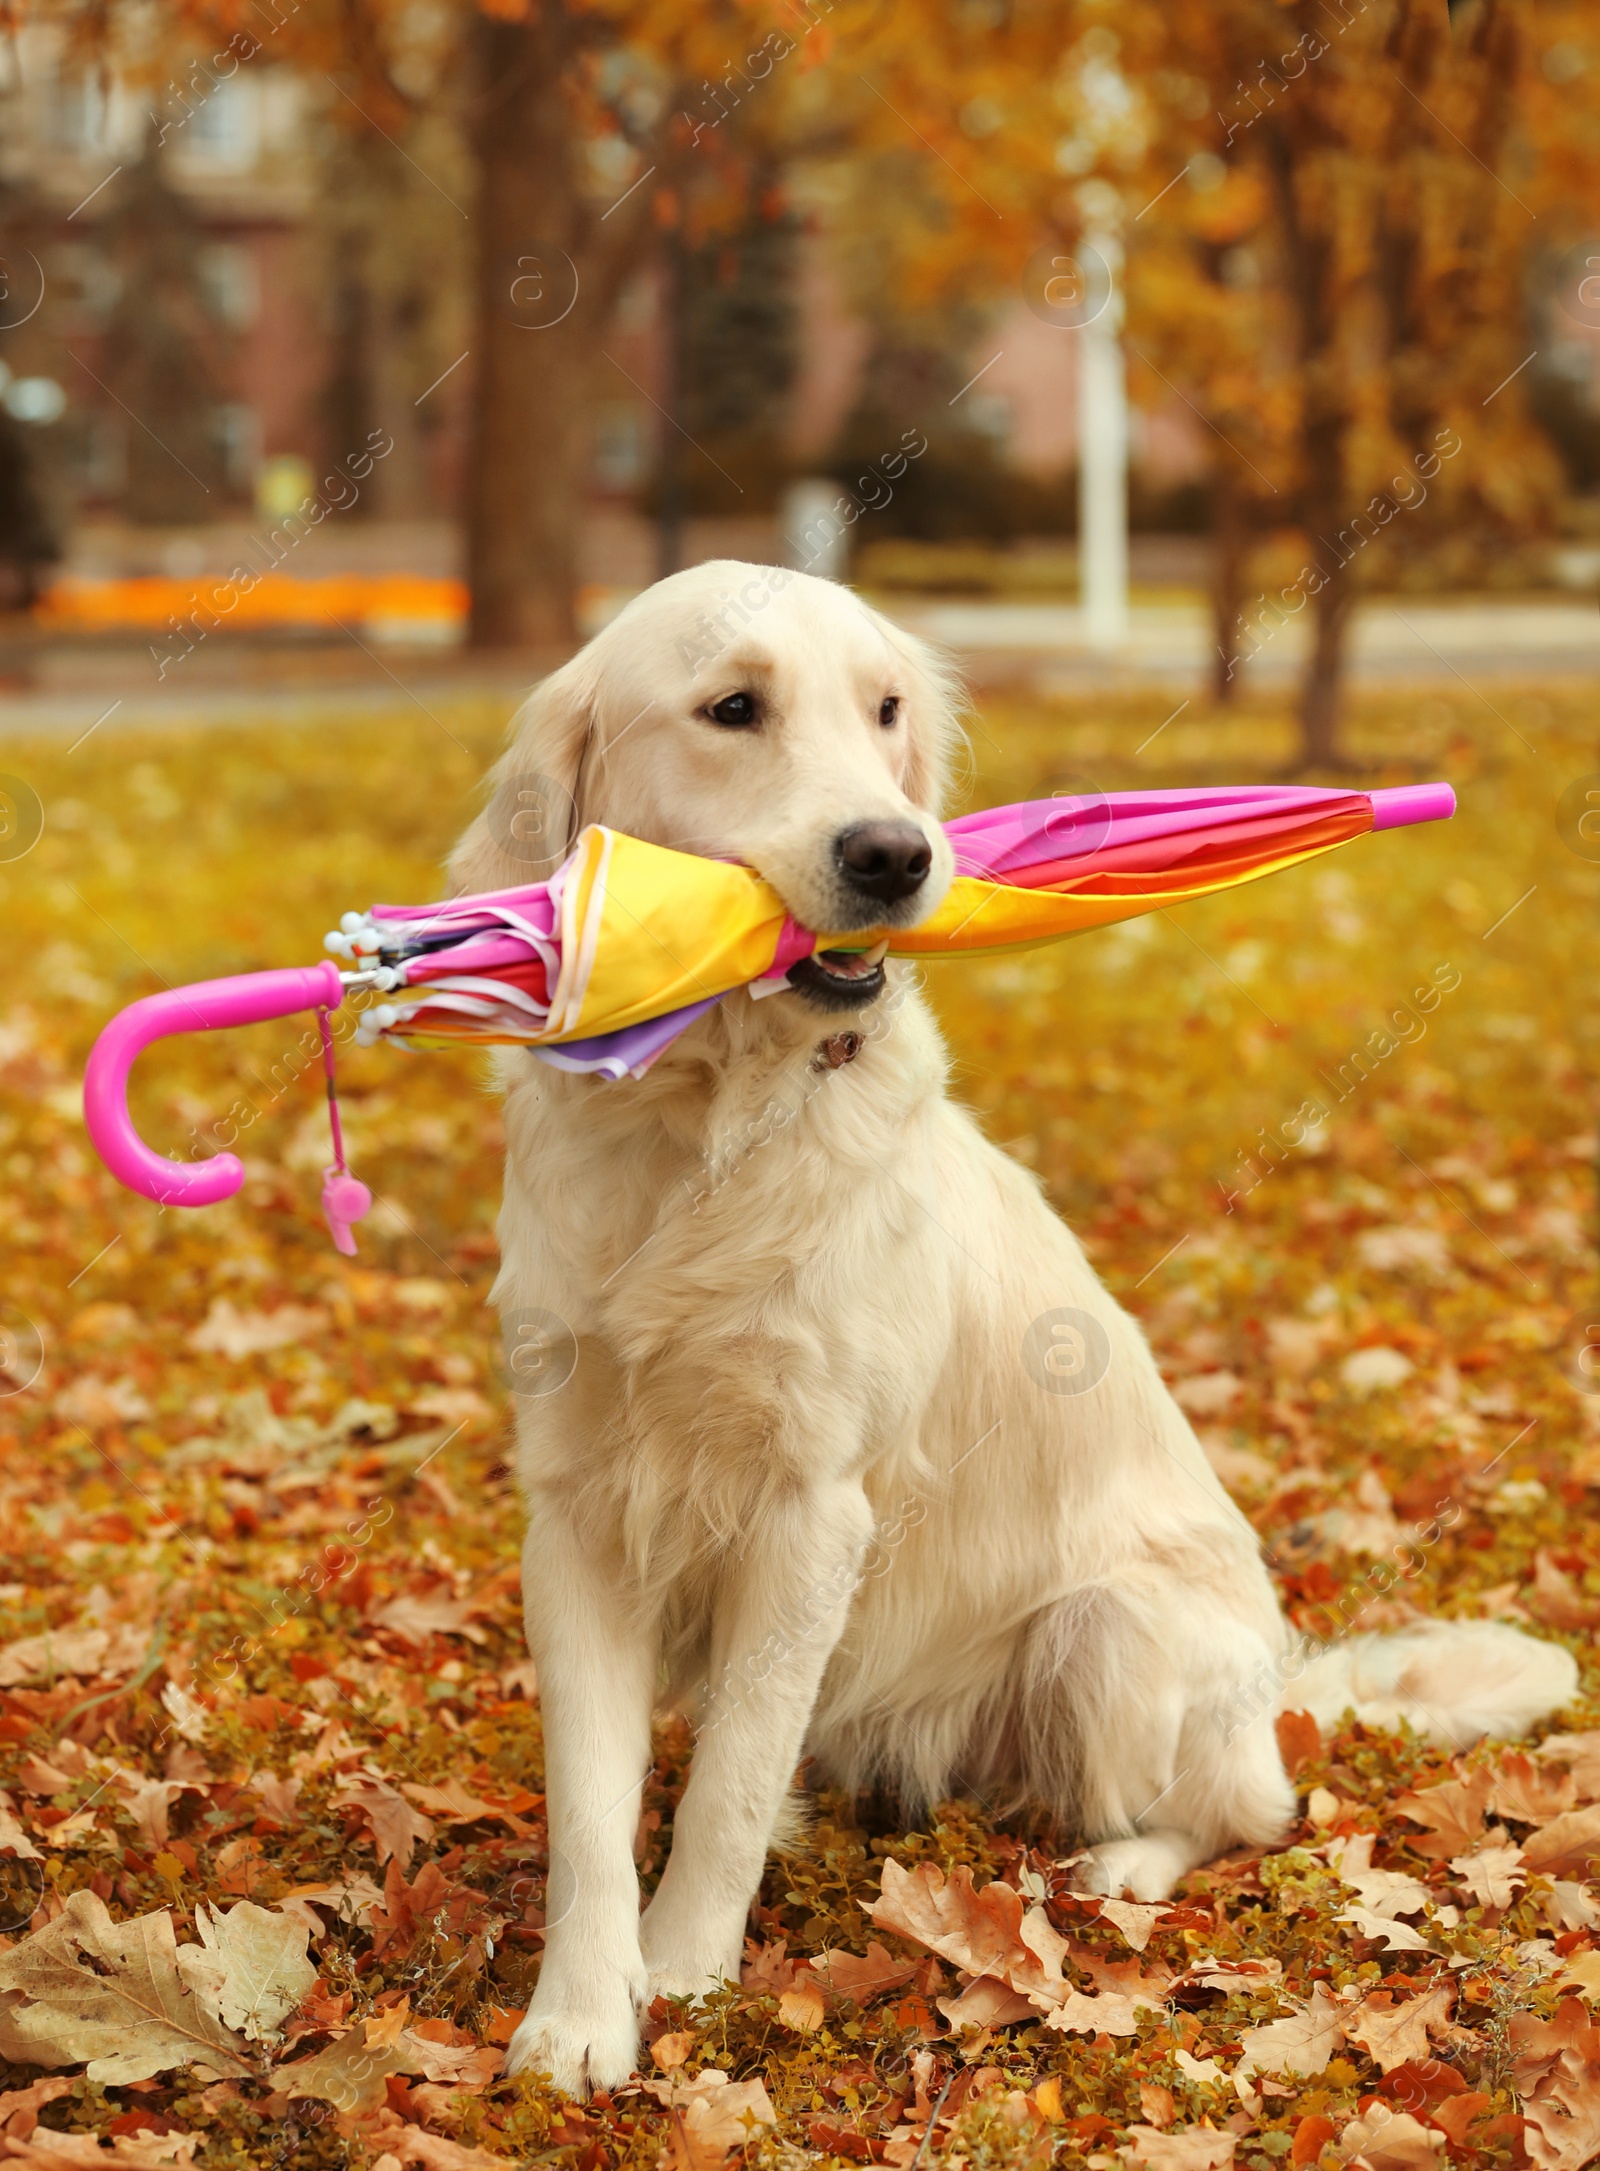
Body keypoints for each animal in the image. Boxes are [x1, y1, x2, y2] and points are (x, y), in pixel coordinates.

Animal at [447, 564, 1571, 2101]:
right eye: (733, 707)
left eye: (885, 709)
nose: (894, 851)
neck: (695, 1136)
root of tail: (1277, 1680)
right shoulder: (577, 1509)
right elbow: (589, 1808)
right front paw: (576, 2014)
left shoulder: (809, 1507)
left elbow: (729, 1783)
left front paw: (681, 1976)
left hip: (1110, 1627)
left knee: (1245, 1807)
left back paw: (1123, 1862)